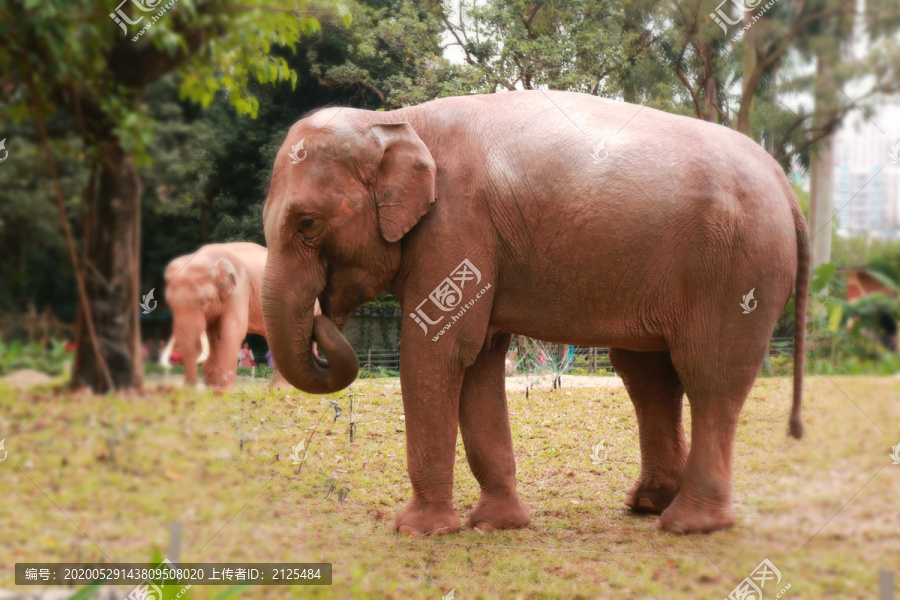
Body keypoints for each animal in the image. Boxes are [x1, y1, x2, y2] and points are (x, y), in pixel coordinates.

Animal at [164, 242, 319, 388]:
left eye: (203, 302)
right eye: (169, 303)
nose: (188, 388)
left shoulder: (240, 289)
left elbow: (232, 331)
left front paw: (224, 391)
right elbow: (213, 335)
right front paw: (213, 388)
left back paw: (282, 388)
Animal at [260, 91, 809, 536]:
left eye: (307, 224)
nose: (324, 316)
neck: (393, 120)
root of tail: (785, 183)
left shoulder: (456, 226)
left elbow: (437, 348)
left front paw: (418, 531)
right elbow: (479, 359)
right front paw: (497, 525)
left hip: (738, 271)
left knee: (709, 376)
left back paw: (687, 525)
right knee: (647, 373)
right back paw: (647, 505)